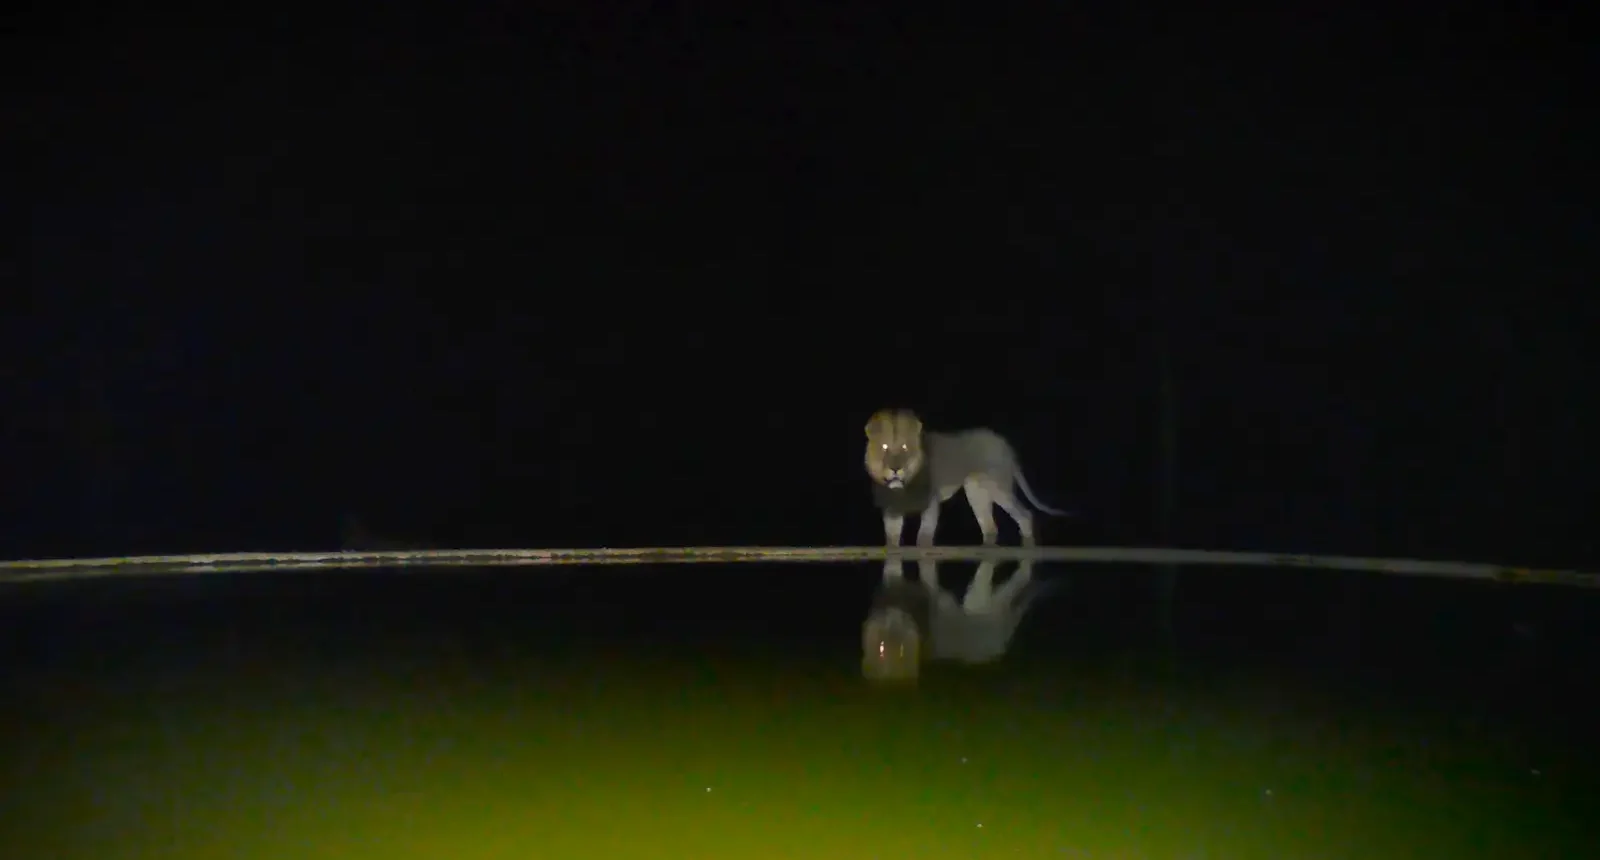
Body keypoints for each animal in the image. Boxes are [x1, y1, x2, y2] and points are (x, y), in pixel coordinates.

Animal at [863, 408, 1070, 549]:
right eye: (884, 447)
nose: (895, 469)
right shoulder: (891, 509)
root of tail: (1005, 445)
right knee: (990, 526)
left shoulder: (931, 502)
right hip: (976, 492)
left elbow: (924, 535)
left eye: (905, 447)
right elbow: (892, 540)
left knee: (1025, 515)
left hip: (998, 486)